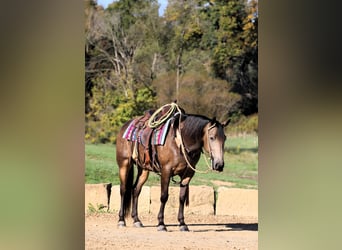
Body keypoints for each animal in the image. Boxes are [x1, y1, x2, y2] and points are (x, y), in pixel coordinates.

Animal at [115, 102, 230, 231]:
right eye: (212, 137)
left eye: (224, 138)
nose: (219, 164)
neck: (179, 141)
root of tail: (126, 125)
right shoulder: (166, 171)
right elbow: (164, 196)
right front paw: (161, 223)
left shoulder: (188, 174)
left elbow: (182, 197)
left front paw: (182, 223)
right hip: (124, 164)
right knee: (123, 190)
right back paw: (121, 220)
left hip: (143, 169)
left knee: (136, 190)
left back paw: (136, 220)